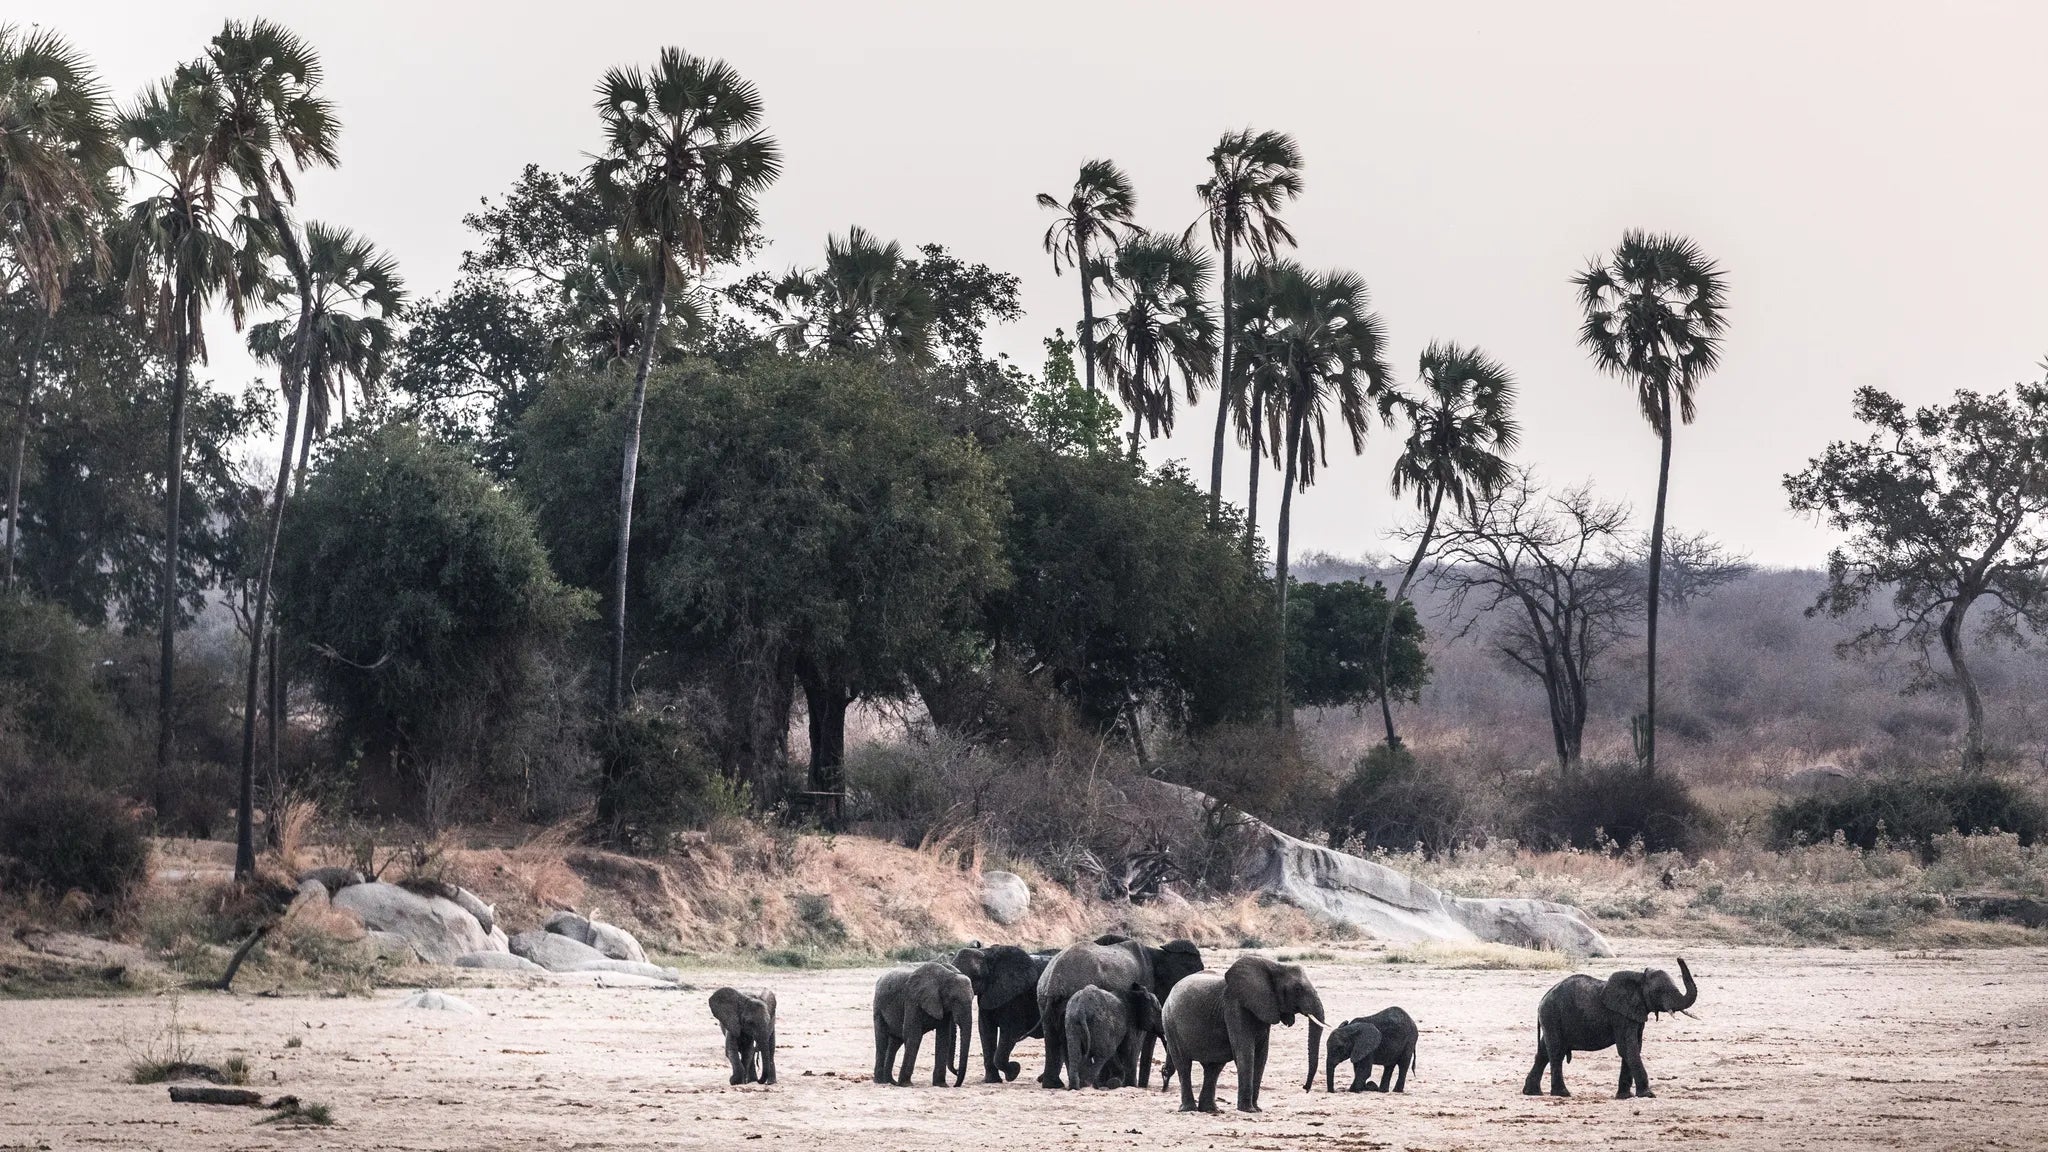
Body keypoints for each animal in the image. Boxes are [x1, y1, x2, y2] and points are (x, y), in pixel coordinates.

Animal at [952, 944, 1051, 1082]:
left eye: (975, 976)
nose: (956, 1071)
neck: (987, 953)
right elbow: (986, 1031)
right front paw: (992, 1081)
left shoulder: (1015, 996)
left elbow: (1011, 1031)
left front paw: (1014, 1071)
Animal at [1035, 936, 1205, 1089]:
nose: (1165, 1072)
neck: (1156, 953)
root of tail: (1053, 981)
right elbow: (1138, 1038)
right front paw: (1126, 1084)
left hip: (1044, 1000)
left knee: (1055, 1037)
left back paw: (1055, 1085)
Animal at [1162, 955, 1325, 1113]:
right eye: (1297, 989)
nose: (1305, 1088)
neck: (1274, 966)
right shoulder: (1235, 1006)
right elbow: (1245, 1051)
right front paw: (1248, 1110)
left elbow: (1261, 1056)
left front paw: (1257, 1109)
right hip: (1170, 1024)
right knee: (1184, 1065)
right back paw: (1189, 1109)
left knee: (1213, 1068)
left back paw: (1211, 1110)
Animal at [1523, 957, 1696, 1098]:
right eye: (1661, 991)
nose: (1679, 958)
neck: (1638, 977)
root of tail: (1543, 999)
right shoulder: (1620, 1016)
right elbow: (1628, 1048)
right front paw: (1648, 1095)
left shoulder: (1634, 1014)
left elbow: (1634, 1047)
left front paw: (1625, 1097)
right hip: (1552, 1015)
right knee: (1556, 1051)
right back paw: (1562, 1094)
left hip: (1551, 1019)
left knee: (1543, 1052)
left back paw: (1532, 1092)